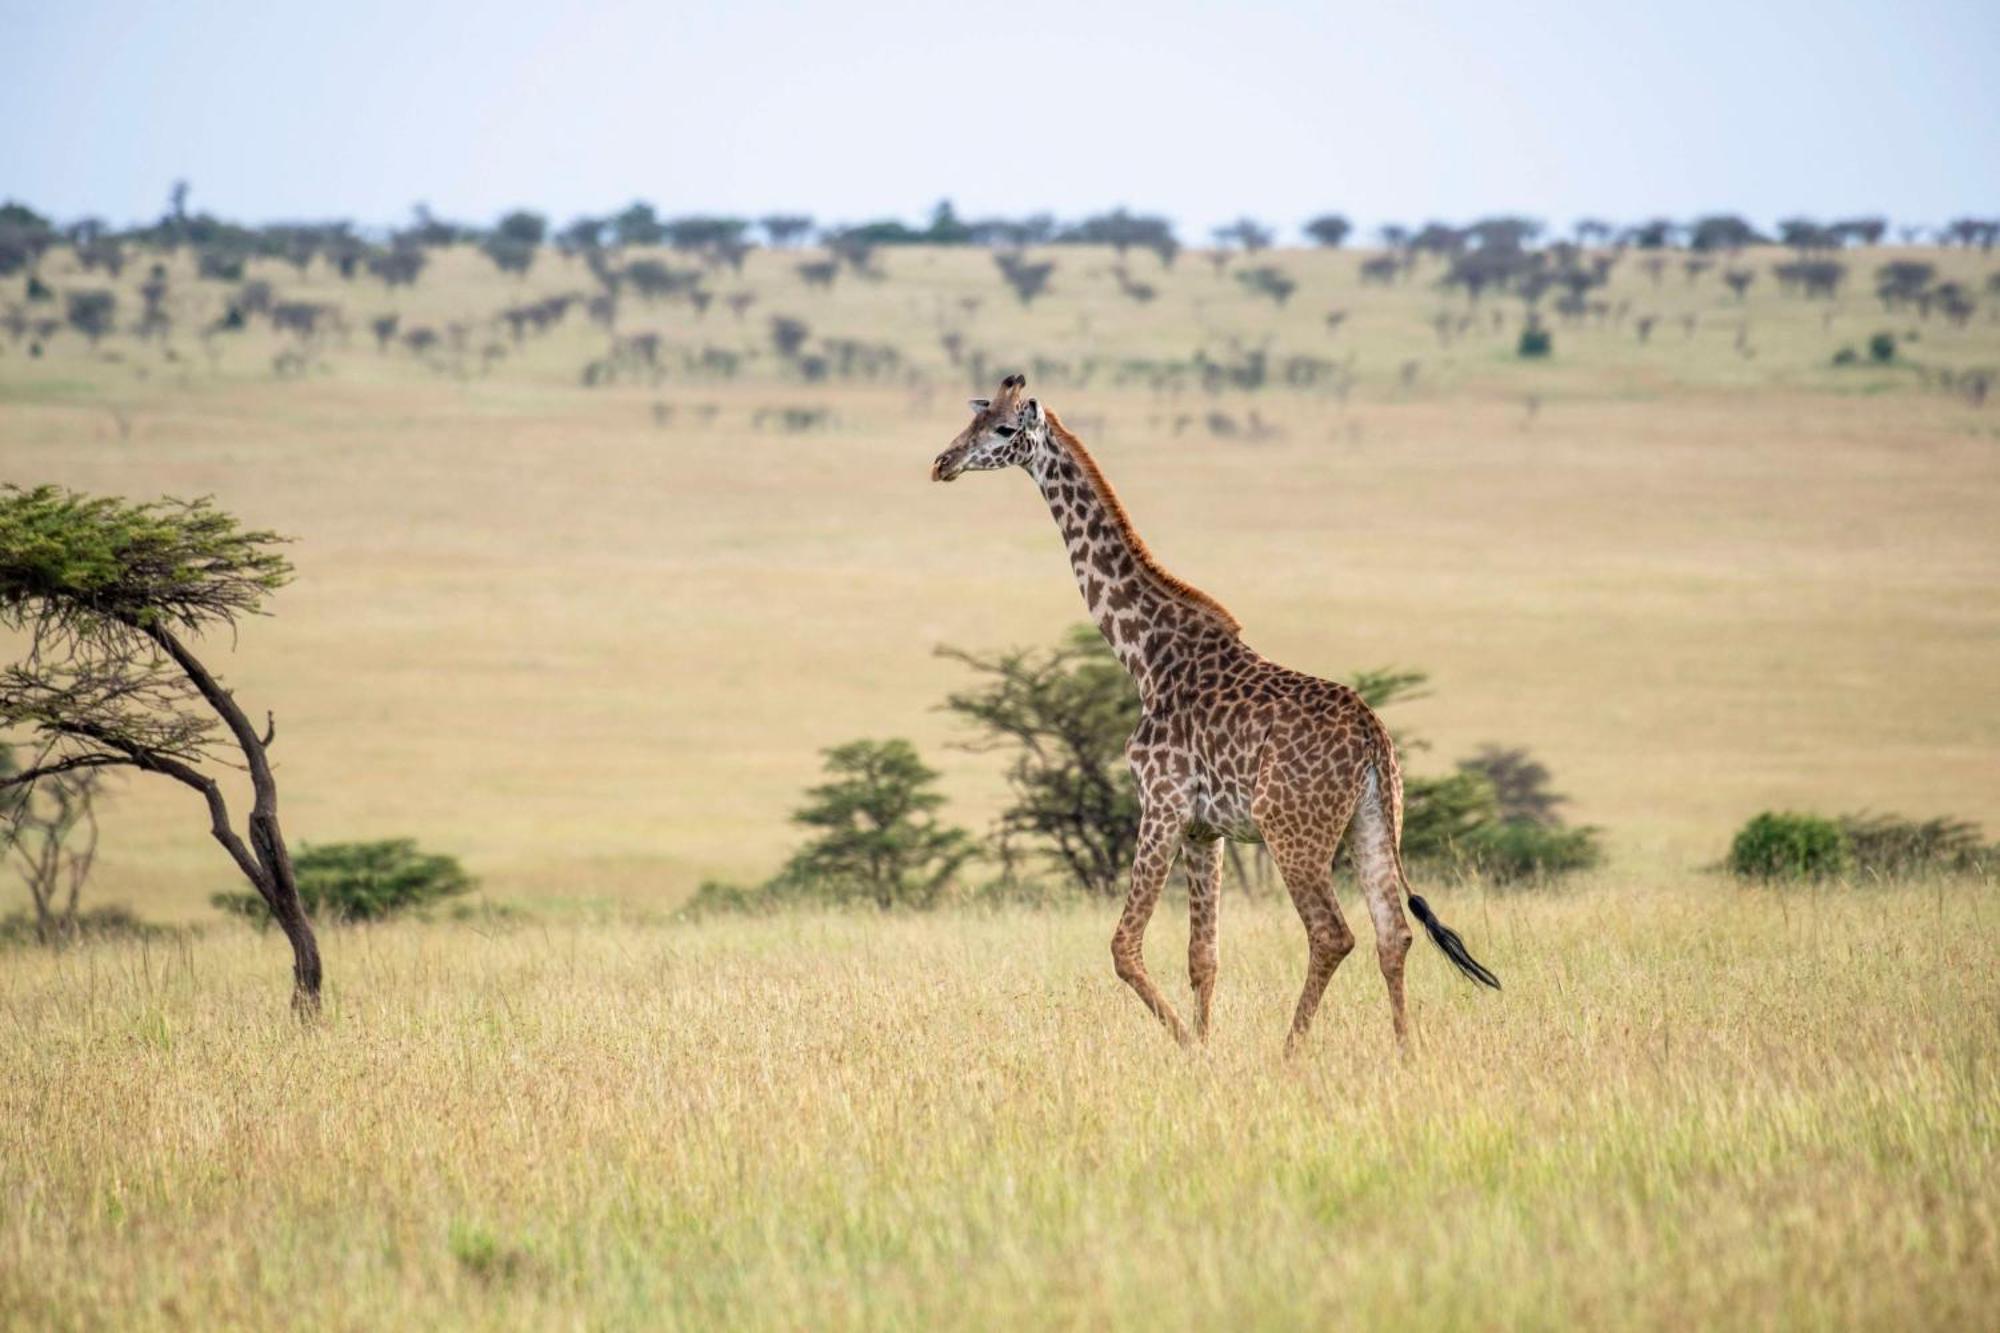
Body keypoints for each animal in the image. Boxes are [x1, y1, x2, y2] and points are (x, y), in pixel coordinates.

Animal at [928, 374, 1496, 1048]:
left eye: (1003, 428)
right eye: (975, 416)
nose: (942, 463)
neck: (1144, 653)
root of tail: (1373, 738)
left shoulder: (1162, 802)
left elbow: (1124, 946)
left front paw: (1190, 1048)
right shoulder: (1207, 828)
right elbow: (1204, 956)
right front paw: (1205, 1043)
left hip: (1292, 830)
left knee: (1333, 934)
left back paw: (1289, 1052)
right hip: (1374, 823)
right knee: (1394, 931)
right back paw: (1406, 1052)